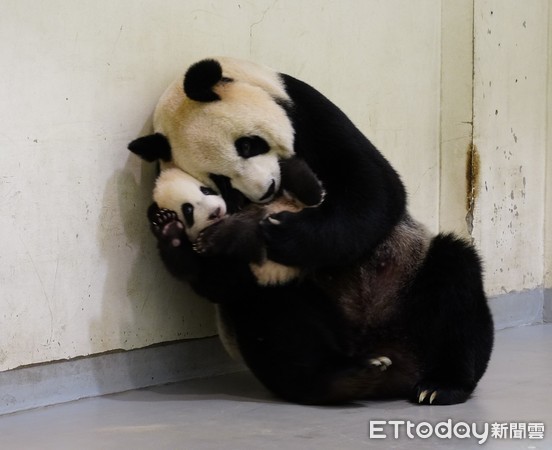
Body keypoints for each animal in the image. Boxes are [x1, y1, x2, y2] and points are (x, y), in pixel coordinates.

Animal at [130, 56, 496, 404]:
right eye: (220, 180)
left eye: (247, 145)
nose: (266, 189)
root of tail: (385, 349)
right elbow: (215, 279)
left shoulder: (307, 111)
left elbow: (374, 188)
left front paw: (284, 232)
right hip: (301, 300)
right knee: (273, 317)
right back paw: (342, 379)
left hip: (409, 274)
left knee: (455, 283)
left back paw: (441, 385)